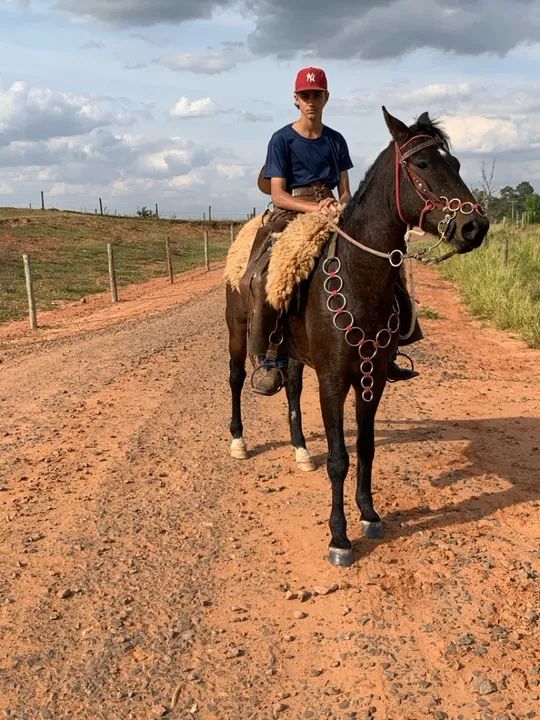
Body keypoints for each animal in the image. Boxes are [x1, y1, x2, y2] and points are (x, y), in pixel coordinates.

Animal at [225, 107, 489, 566]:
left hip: (294, 354)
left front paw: (369, 513)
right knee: (238, 378)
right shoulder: (332, 381)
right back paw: (239, 440)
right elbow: (339, 459)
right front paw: (340, 538)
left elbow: (365, 447)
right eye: (423, 164)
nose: (475, 226)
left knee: (291, 388)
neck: (356, 277)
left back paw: (300, 450)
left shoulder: (374, 377)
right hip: (238, 333)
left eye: (455, 164)